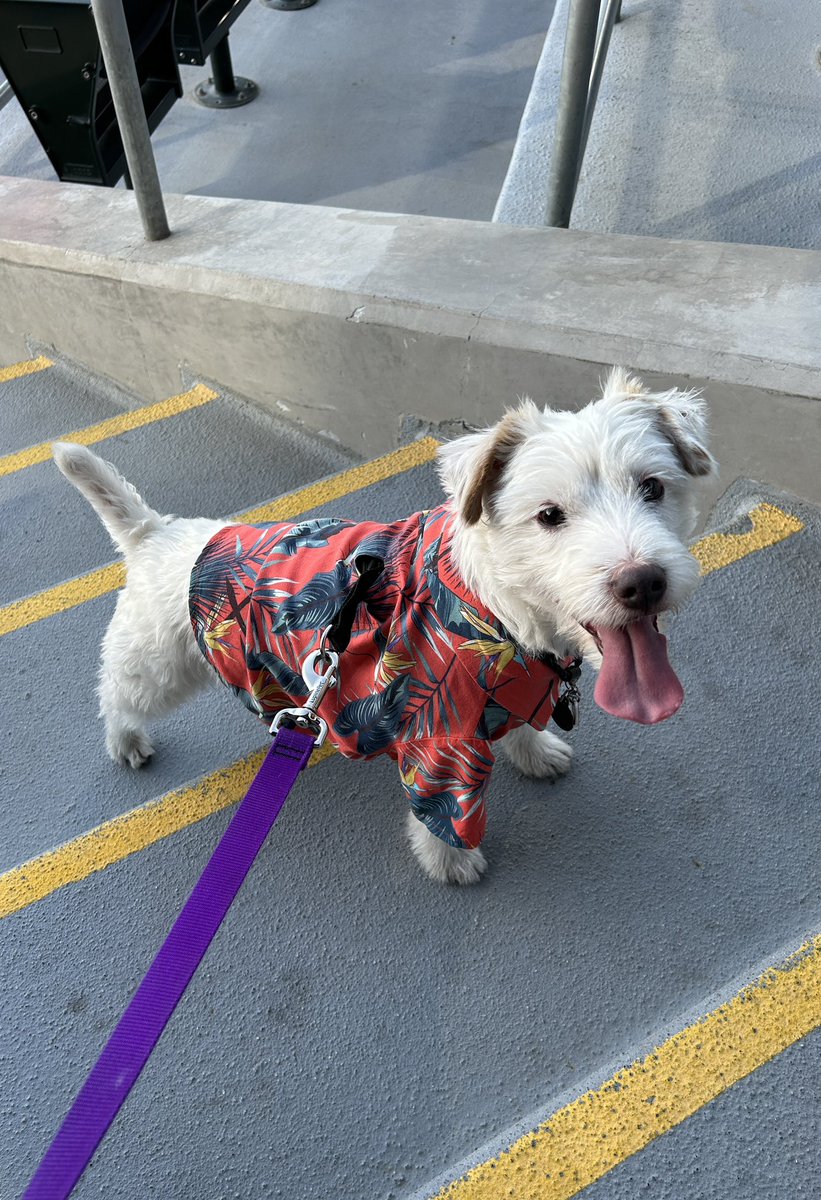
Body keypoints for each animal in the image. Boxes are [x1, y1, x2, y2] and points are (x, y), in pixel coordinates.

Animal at [54, 369, 715, 888]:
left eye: (652, 487)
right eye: (549, 515)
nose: (642, 582)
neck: (495, 615)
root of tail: (157, 532)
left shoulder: (512, 691)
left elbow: (522, 731)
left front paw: (537, 751)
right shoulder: (441, 746)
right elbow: (445, 814)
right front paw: (452, 863)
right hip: (157, 665)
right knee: (116, 693)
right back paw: (125, 741)